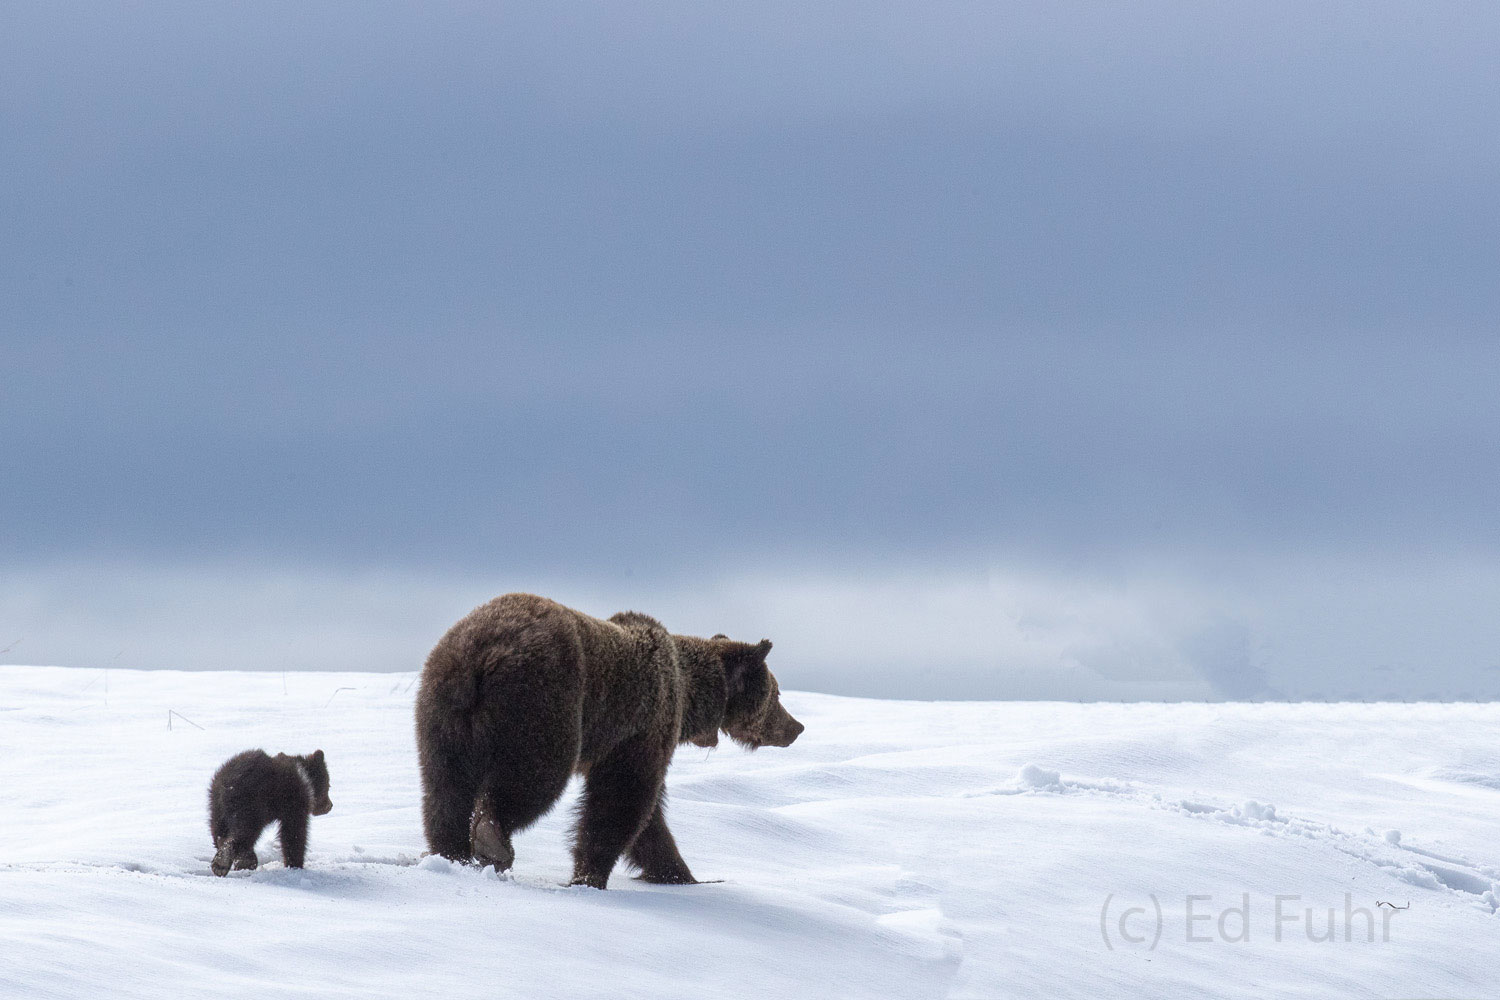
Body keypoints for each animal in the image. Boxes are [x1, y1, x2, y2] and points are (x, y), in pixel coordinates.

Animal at [417, 590, 804, 887]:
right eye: (777, 694)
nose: (796, 727)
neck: (688, 696)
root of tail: (484, 653)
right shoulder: (642, 724)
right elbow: (623, 799)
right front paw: (590, 876)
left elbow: (649, 820)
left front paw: (680, 874)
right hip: (543, 702)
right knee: (534, 779)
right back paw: (492, 841)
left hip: (443, 710)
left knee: (444, 788)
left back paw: (449, 853)